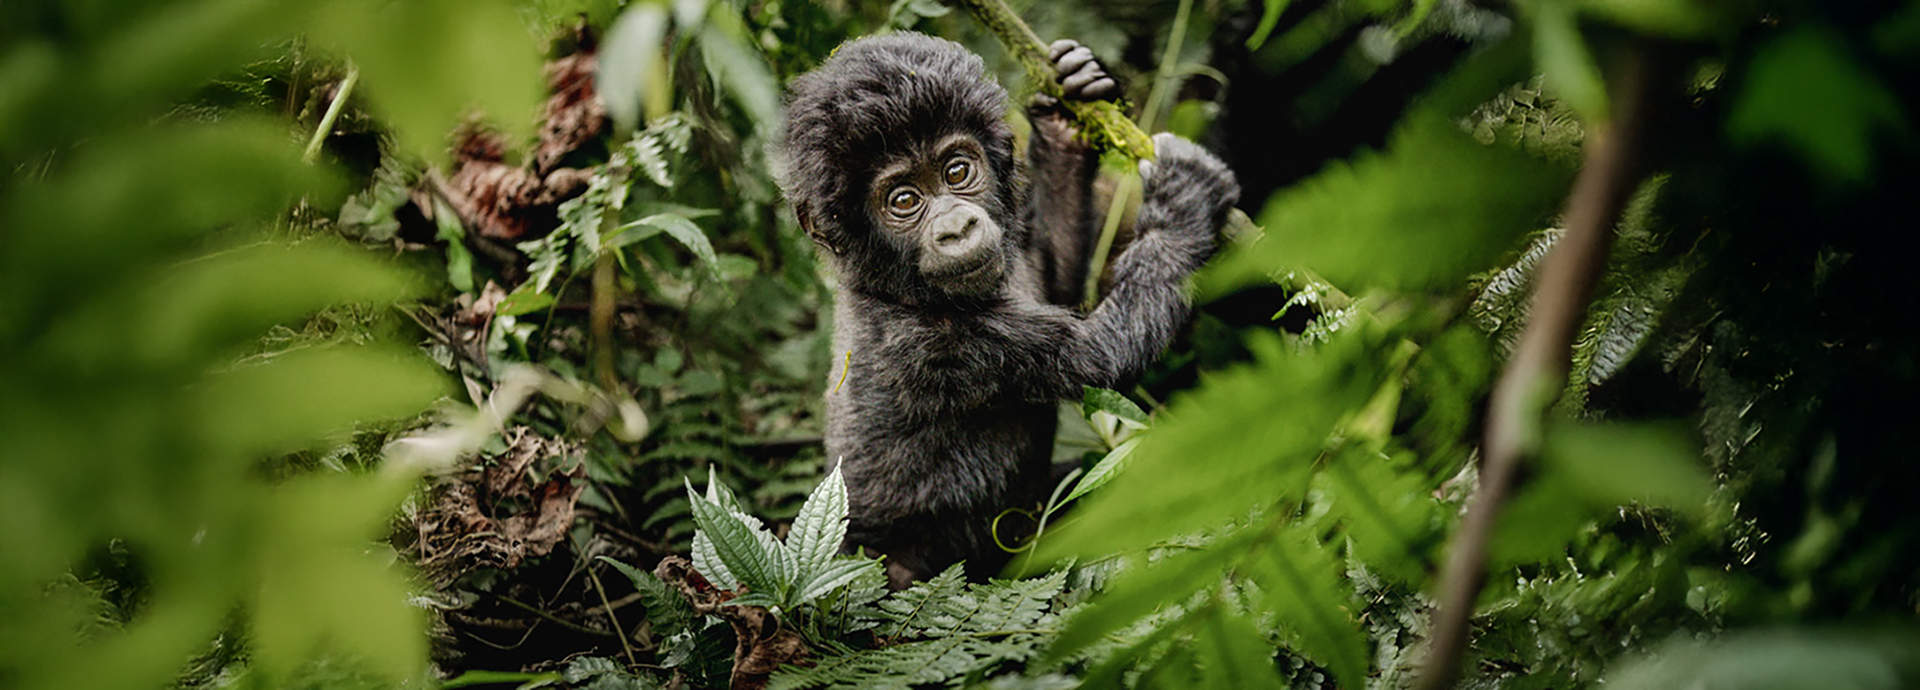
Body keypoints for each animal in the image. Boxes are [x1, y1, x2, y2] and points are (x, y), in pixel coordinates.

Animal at [779, 32, 1239, 587]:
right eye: (903, 200)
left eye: (957, 171)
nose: (957, 228)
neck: (893, 289)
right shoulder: (935, 343)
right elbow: (1099, 357)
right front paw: (1183, 200)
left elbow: (1055, 276)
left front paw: (1065, 116)